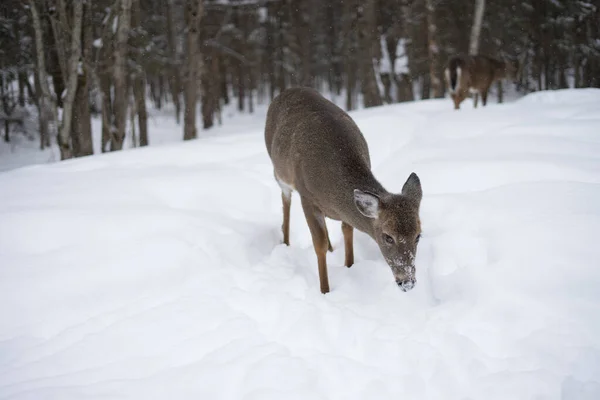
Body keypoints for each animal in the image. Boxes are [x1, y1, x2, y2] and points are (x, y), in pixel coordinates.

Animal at [264, 88, 424, 294]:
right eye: (388, 237)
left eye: (418, 235)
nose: (408, 282)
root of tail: (287, 90)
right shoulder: (306, 195)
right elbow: (319, 244)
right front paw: (325, 291)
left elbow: (347, 231)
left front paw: (349, 265)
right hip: (279, 172)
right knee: (286, 201)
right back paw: (285, 242)